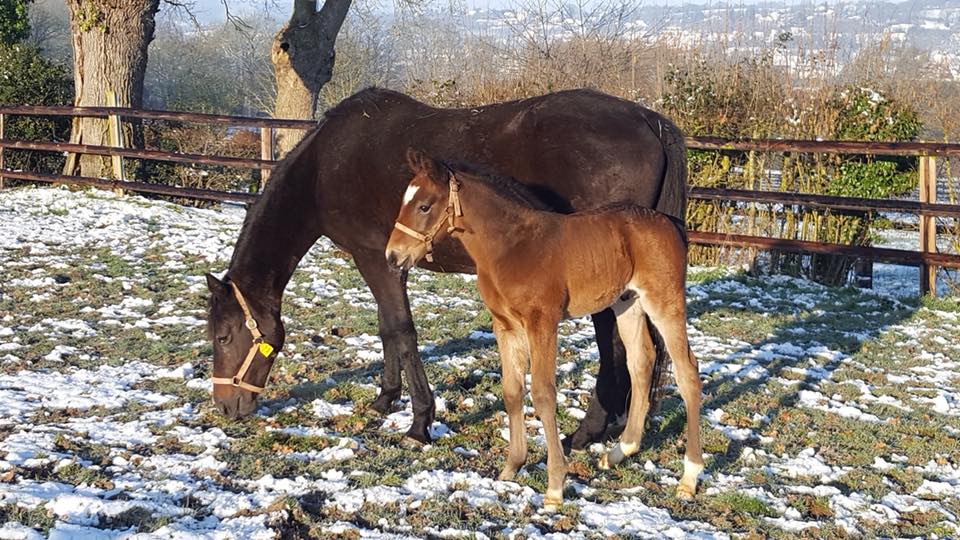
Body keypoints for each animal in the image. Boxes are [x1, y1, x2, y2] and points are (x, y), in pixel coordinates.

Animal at [384, 150, 704, 508]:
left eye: (424, 206)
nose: (393, 256)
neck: (511, 245)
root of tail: (669, 224)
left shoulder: (542, 323)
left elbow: (543, 393)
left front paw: (554, 486)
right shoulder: (505, 326)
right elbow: (512, 391)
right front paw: (512, 467)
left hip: (664, 302)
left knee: (687, 370)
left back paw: (689, 477)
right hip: (627, 302)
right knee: (641, 362)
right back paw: (620, 451)